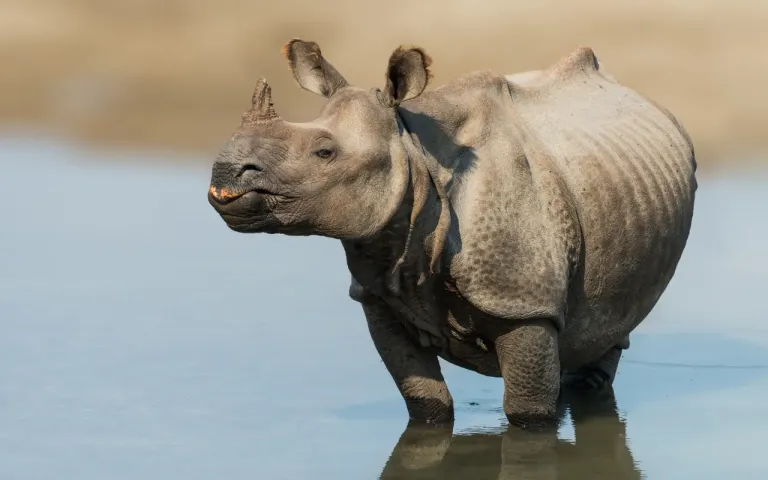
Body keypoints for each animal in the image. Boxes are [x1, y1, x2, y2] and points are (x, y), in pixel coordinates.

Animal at [207, 39, 697, 428]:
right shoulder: (378, 295)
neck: (415, 154)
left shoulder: (525, 303)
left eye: (324, 153)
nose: (225, 171)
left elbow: (527, 413)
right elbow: (426, 403)